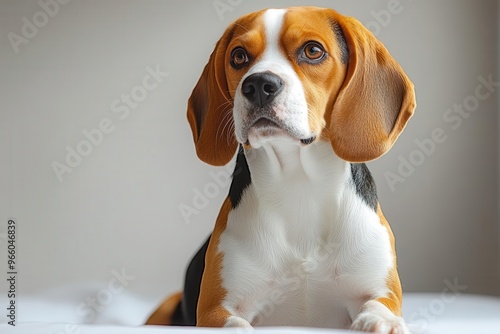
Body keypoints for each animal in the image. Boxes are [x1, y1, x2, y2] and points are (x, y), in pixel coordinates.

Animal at [146, 6, 416, 332]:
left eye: (313, 50)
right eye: (238, 56)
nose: (258, 85)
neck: (298, 185)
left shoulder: (379, 290)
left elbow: (379, 307)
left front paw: (381, 322)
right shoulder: (214, 311)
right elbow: (235, 324)